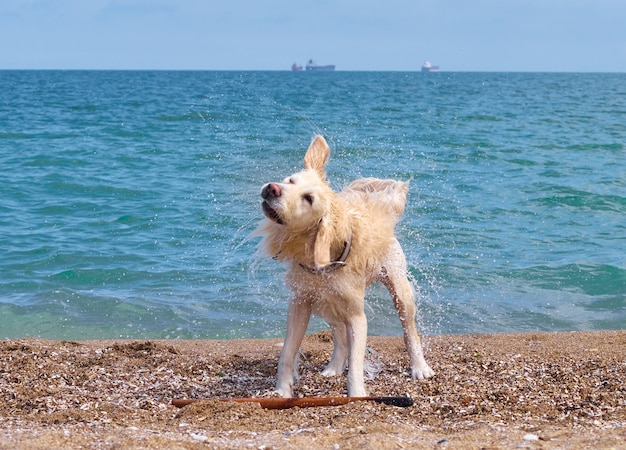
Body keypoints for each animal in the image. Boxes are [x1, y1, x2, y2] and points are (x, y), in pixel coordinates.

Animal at [256, 135, 432, 396]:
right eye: (290, 180)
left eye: (308, 199)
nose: (272, 188)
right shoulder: (300, 303)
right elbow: (287, 353)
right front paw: (282, 392)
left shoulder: (357, 316)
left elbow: (356, 364)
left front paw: (357, 395)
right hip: (326, 299)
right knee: (339, 332)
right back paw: (334, 366)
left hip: (399, 289)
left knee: (409, 329)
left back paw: (420, 367)